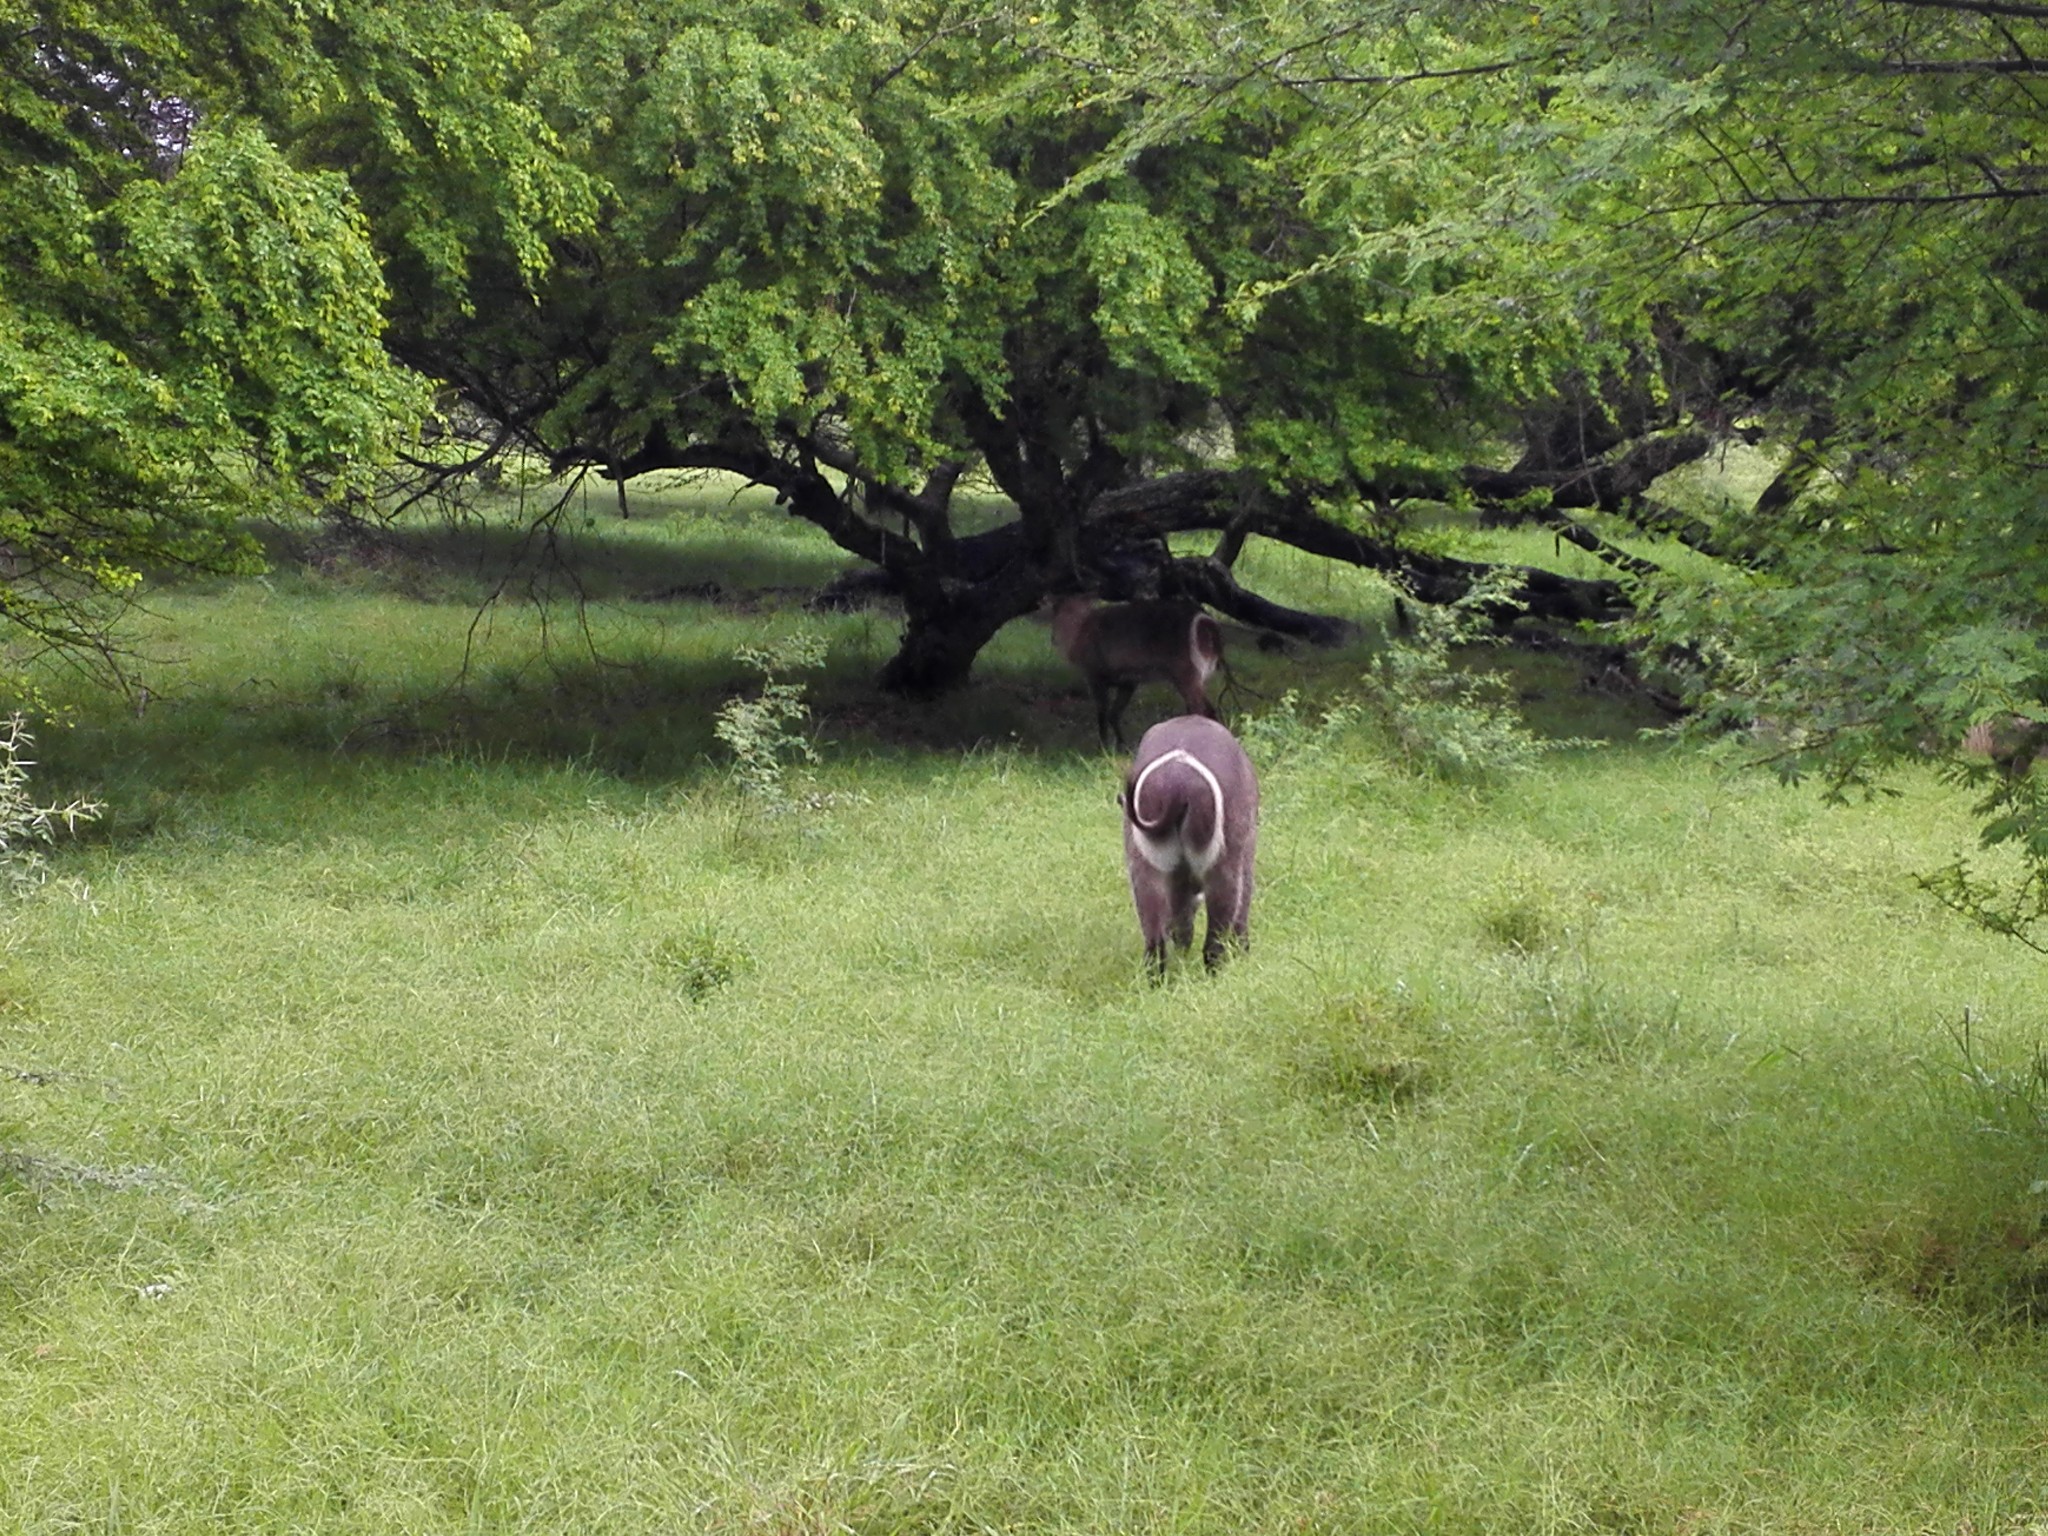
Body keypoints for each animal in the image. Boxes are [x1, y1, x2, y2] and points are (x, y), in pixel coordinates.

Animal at [1048, 593, 1220, 753]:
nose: (1053, 639)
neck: (1079, 628)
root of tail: (1207, 625)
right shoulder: (1128, 683)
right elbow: (1114, 714)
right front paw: (1122, 747)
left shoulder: (1095, 677)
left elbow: (1102, 714)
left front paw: (1103, 748)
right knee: (1208, 709)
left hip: (1186, 675)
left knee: (1200, 709)